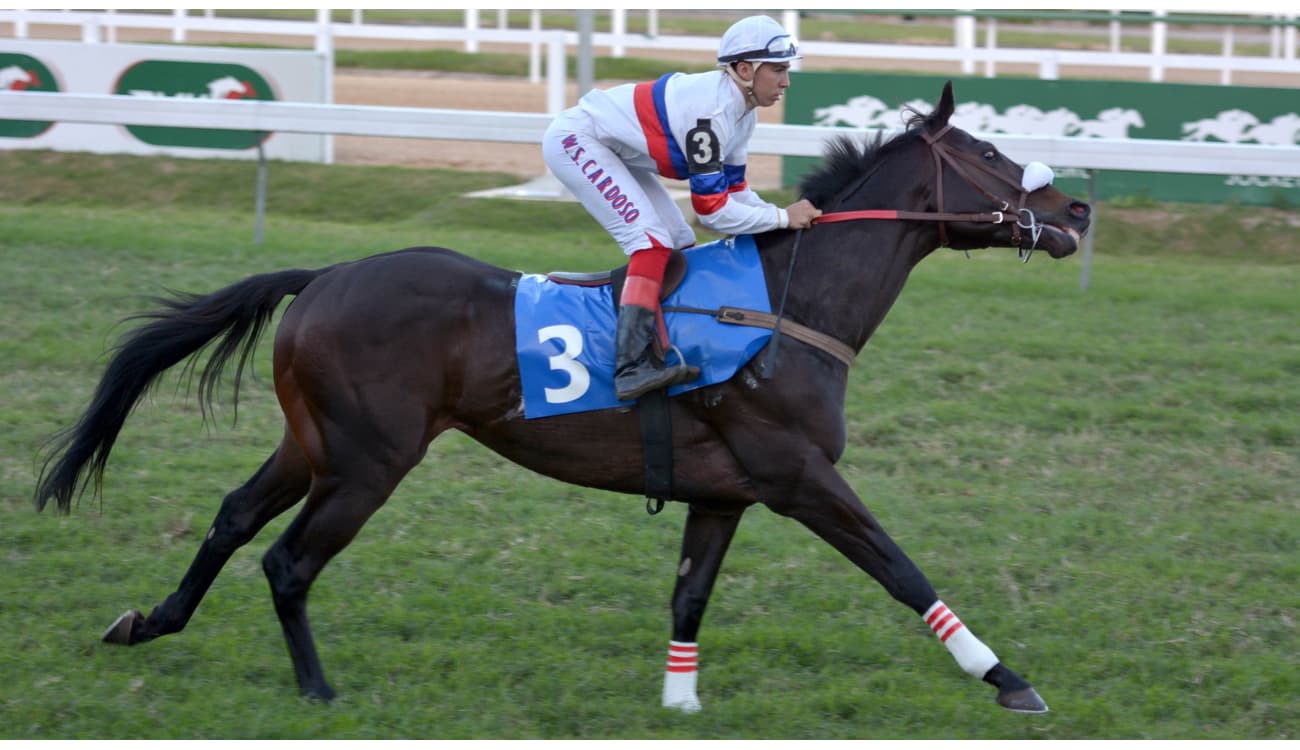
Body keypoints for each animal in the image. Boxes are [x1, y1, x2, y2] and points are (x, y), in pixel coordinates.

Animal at [35, 80, 1092, 712]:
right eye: (990, 154)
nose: (1078, 207)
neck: (788, 306)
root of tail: (325, 273)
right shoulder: (797, 476)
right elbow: (902, 570)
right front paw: (1008, 679)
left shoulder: (725, 492)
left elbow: (689, 594)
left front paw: (679, 701)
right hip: (370, 459)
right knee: (288, 562)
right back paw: (320, 692)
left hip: (313, 442)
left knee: (229, 519)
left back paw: (150, 621)